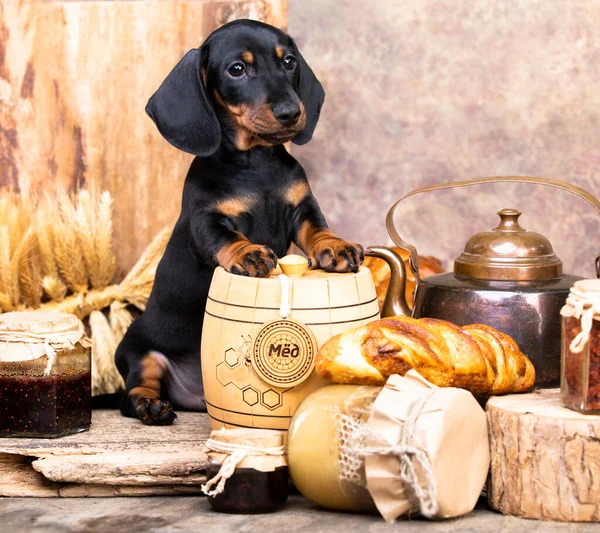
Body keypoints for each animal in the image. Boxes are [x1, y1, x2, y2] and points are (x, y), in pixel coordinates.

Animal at [115, 18, 364, 424]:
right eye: (237, 69)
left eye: (289, 62)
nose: (290, 112)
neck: (256, 162)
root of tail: (193, 395)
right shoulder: (205, 220)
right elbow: (225, 239)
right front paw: (249, 255)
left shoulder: (302, 208)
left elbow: (315, 228)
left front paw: (334, 245)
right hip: (137, 349)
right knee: (137, 386)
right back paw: (148, 405)